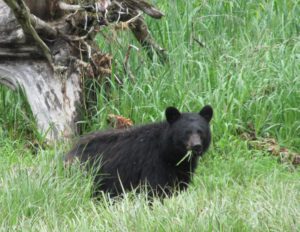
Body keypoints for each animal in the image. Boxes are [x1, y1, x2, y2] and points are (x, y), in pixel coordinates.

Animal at [65, 105, 213, 198]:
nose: (196, 146)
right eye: (186, 133)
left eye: (200, 132)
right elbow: (154, 189)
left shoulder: (181, 169)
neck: (170, 153)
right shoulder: (153, 163)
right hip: (89, 172)